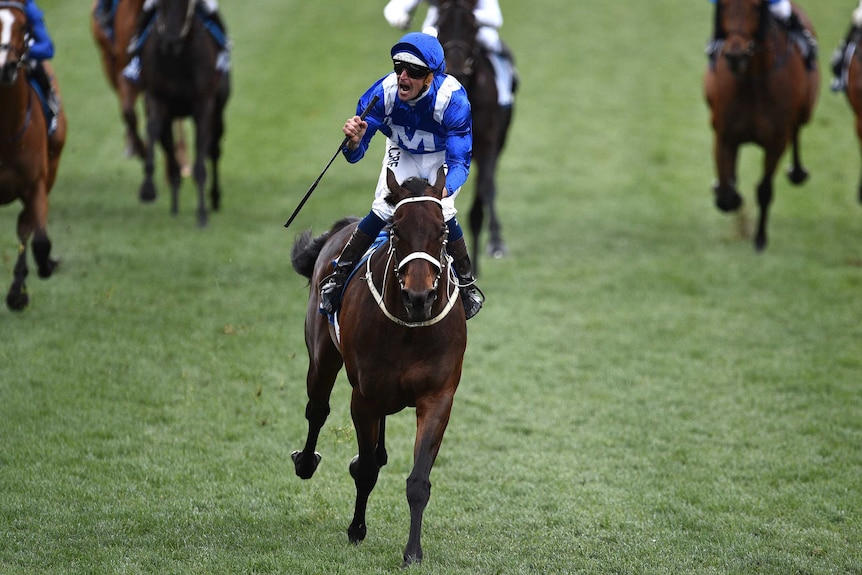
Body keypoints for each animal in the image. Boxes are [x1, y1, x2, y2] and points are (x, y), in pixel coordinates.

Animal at [138, 0, 228, 227]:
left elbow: (201, 161)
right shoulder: (156, 97)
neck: (177, 62)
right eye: (160, 4)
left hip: (219, 109)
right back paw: (175, 206)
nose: (170, 43)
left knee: (214, 150)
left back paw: (215, 197)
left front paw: (202, 214)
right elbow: (152, 129)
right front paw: (148, 188)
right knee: (170, 151)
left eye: (186, 4)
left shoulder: (204, 104)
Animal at [290, 166, 466, 568]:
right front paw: (357, 529)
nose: (419, 296)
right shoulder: (364, 398)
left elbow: (418, 482)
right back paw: (305, 461)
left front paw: (413, 552)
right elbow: (366, 471)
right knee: (317, 409)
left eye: (443, 232)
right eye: (397, 230)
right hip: (322, 357)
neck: (411, 329)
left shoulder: (438, 398)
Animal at [704, 0, 820, 252]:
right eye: (723, 5)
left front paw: (759, 239)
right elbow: (725, 196)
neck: (753, 81)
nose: (735, 54)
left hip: (806, 111)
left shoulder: (775, 142)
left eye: (756, 7)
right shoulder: (724, 135)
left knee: (797, 129)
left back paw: (797, 172)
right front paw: (730, 193)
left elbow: (764, 190)